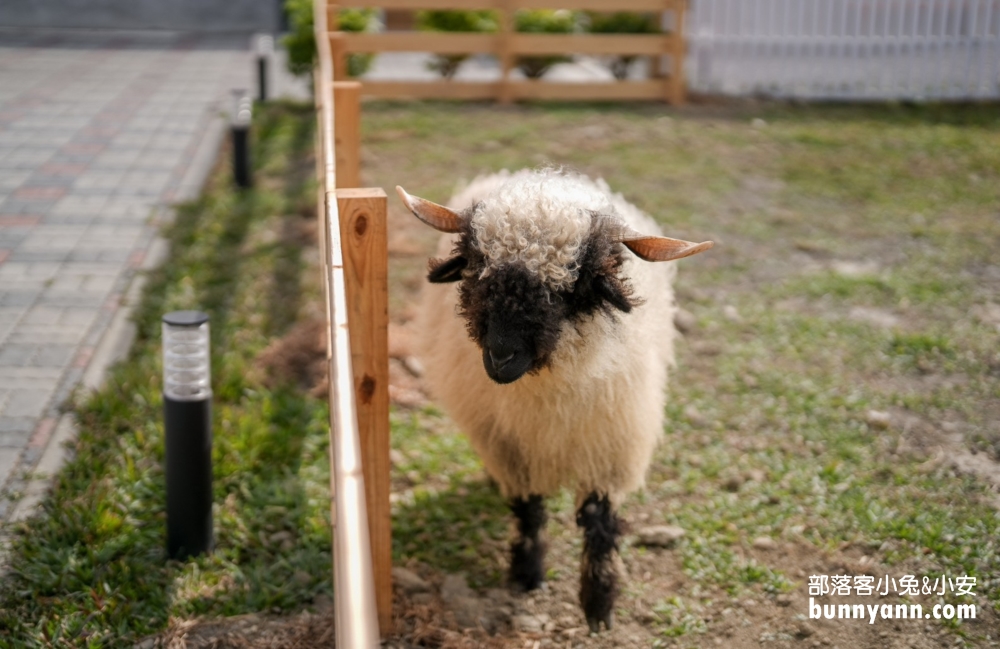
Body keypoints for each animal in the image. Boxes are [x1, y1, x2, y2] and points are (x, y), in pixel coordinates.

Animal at [394, 168, 716, 632]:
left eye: (569, 288)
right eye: (478, 271)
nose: (500, 356)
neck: (548, 397)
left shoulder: (611, 446)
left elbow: (600, 524)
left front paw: (599, 603)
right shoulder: (510, 449)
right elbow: (529, 511)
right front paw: (527, 574)